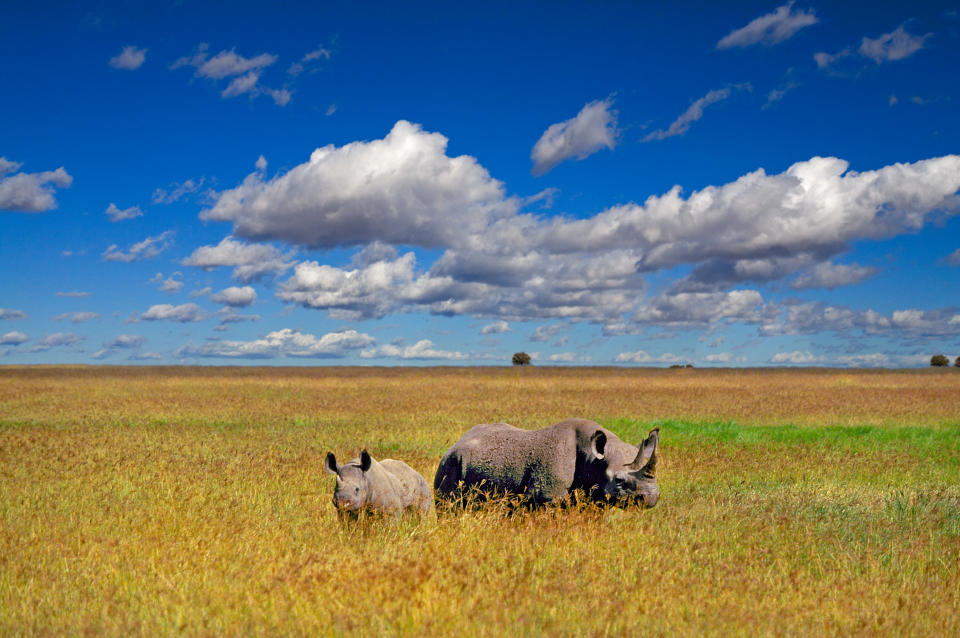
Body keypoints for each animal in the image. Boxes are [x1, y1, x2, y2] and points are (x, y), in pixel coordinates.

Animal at [436, 420, 660, 510]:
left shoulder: (595, 496)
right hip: (450, 463)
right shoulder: (546, 497)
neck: (594, 458)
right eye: (619, 480)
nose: (651, 498)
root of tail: (456, 442)